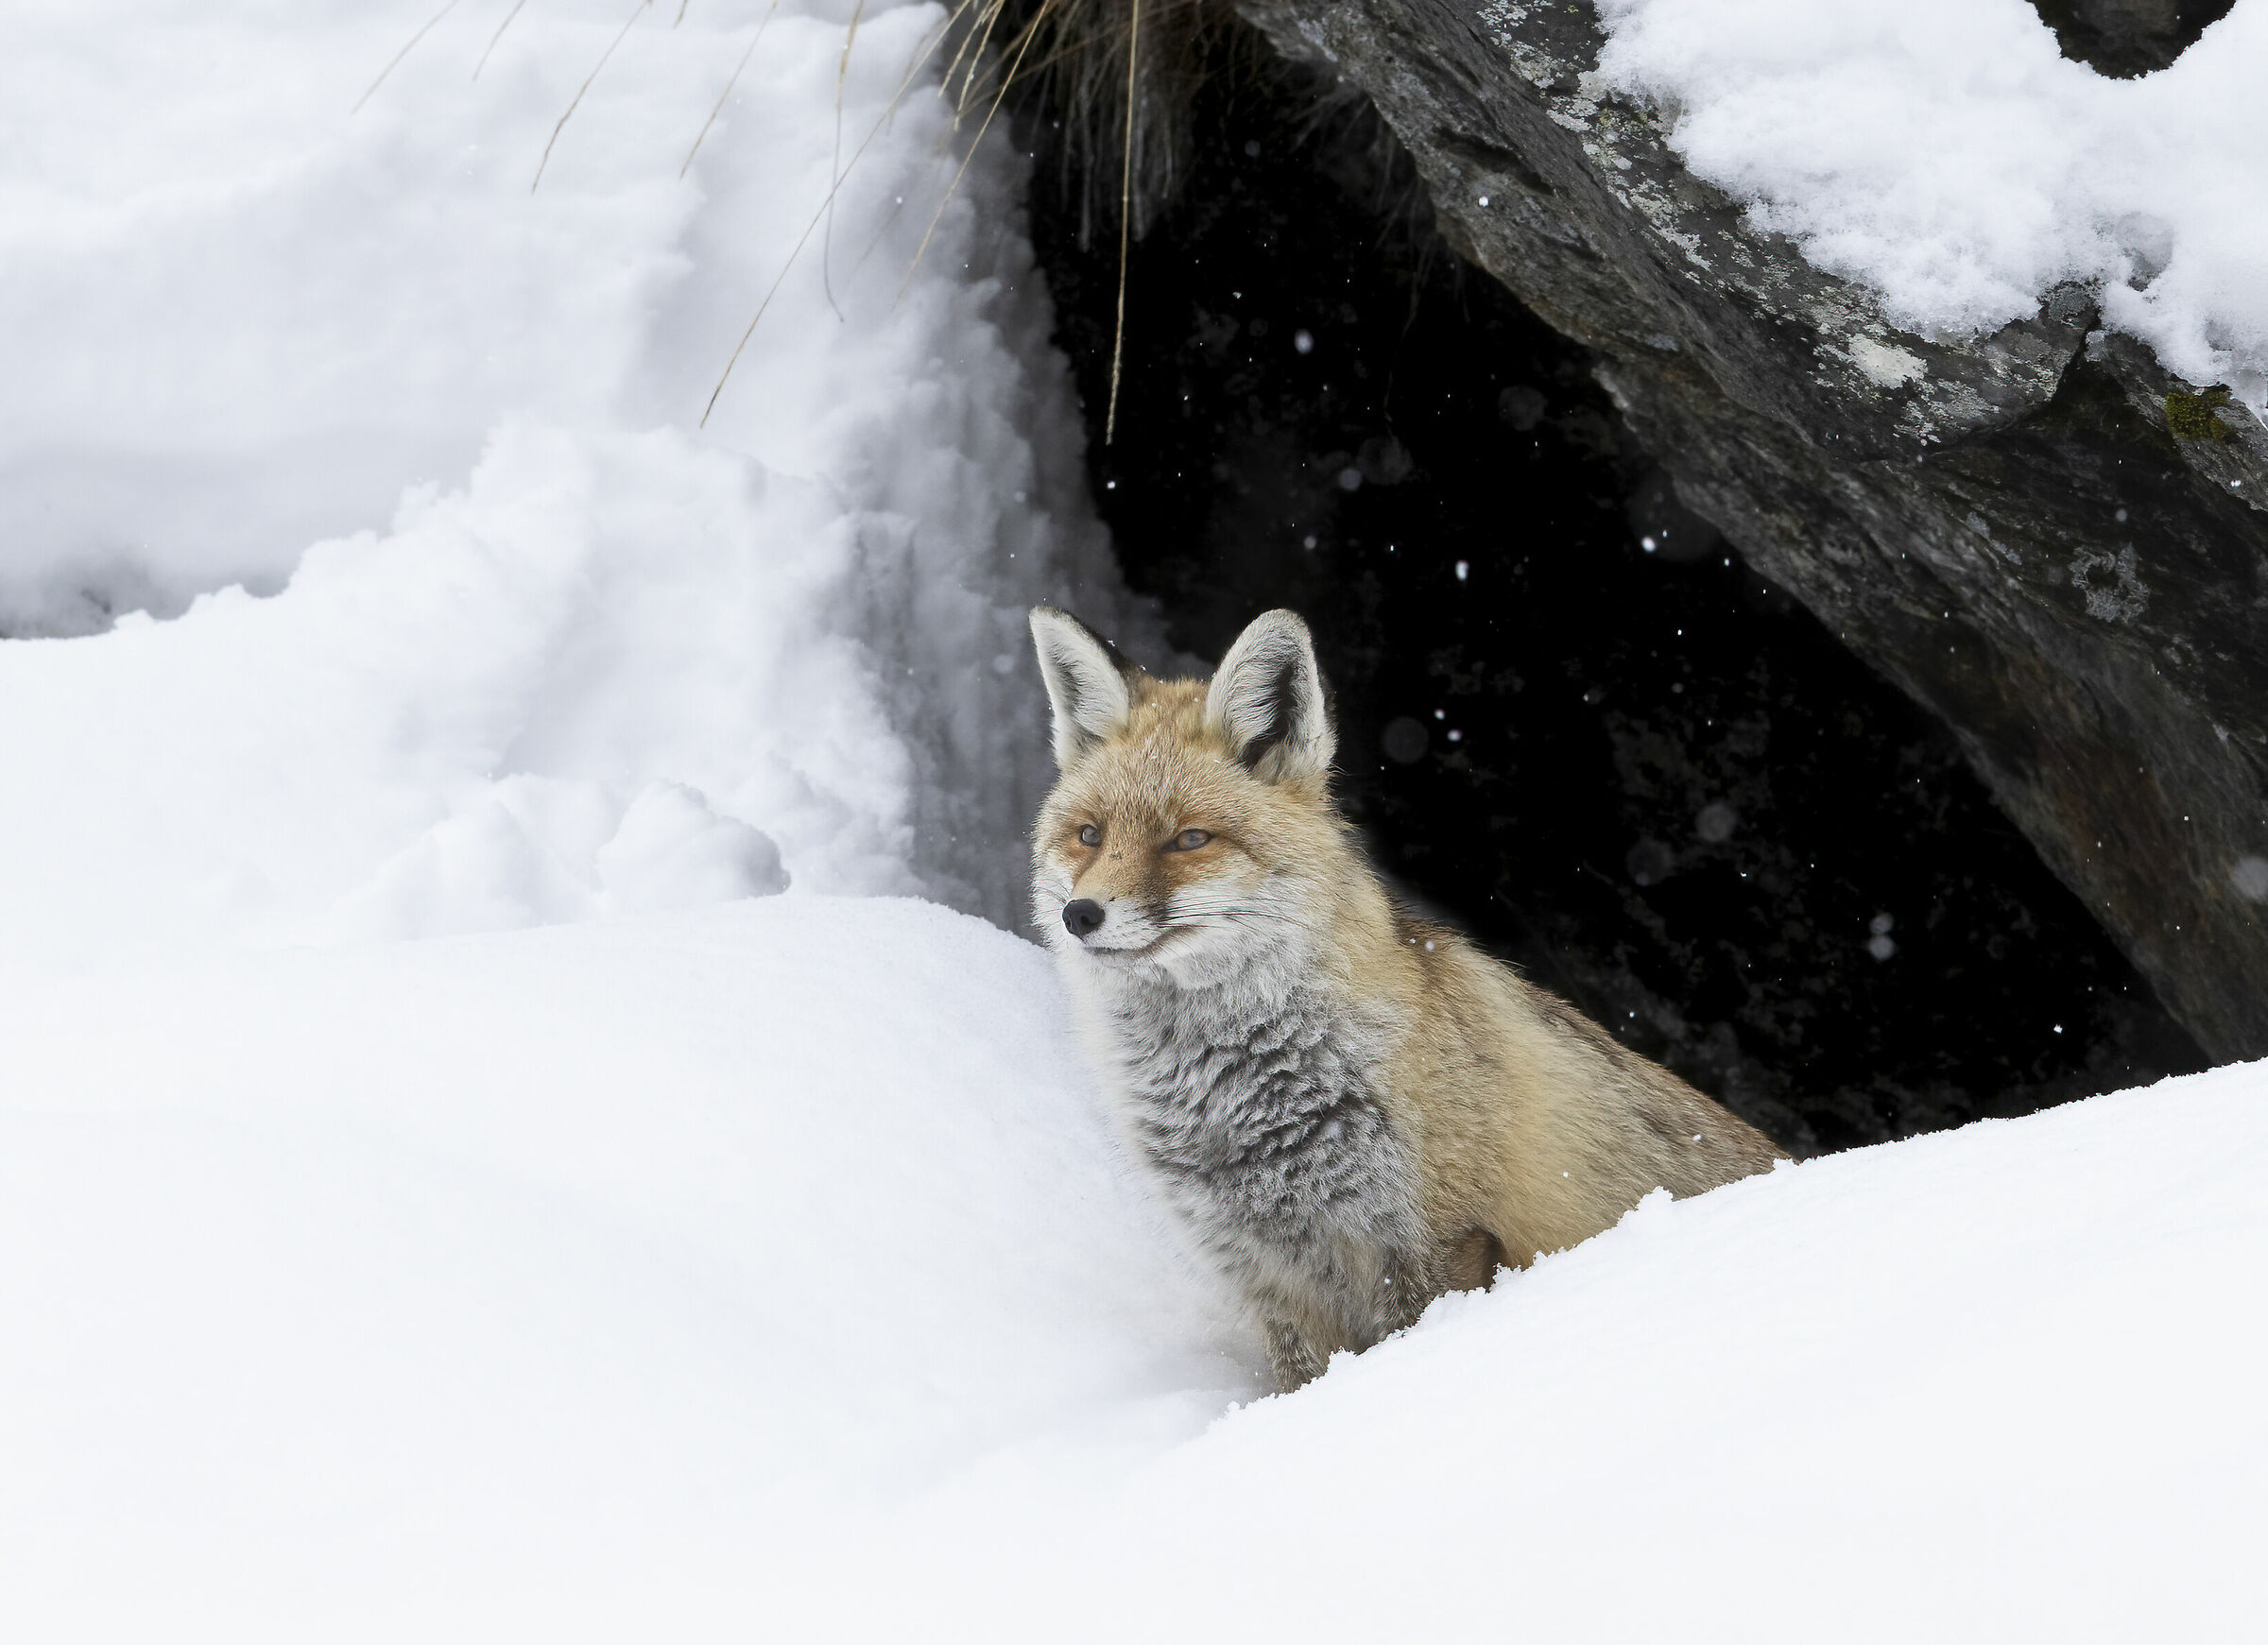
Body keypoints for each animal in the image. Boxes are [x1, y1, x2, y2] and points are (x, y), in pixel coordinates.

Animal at [1027, 604, 1785, 1390]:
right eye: (1089, 835)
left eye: (1189, 839)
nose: (1081, 914)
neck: (1236, 1099)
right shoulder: (1272, 1278)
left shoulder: (1436, 1243)